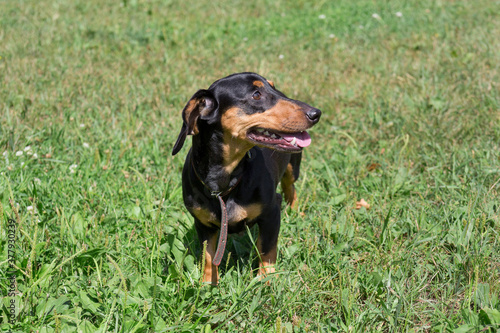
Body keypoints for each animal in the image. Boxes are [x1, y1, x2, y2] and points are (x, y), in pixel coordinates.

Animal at [172, 71, 320, 284]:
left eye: (273, 87)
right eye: (256, 95)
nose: (316, 113)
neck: (225, 184)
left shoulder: (271, 212)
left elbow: (267, 250)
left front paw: (266, 280)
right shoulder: (203, 224)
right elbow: (208, 255)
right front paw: (207, 283)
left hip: (293, 168)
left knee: (290, 187)